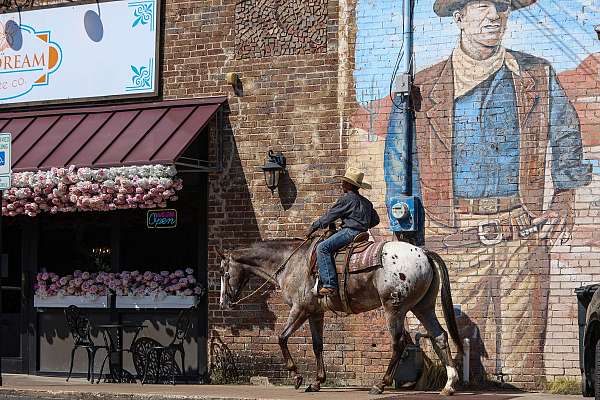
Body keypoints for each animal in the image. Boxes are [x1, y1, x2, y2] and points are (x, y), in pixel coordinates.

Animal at [217, 238, 464, 396]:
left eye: (223, 272)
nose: (223, 302)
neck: (290, 262)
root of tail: (423, 253)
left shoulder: (300, 309)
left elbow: (282, 338)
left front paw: (297, 377)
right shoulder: (315, 313)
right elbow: (317, 345)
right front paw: (317, 382)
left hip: (395, 308)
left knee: (399, 342)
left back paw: (380, 385)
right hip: (423, 307)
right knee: (440, 336)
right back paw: (449, 385)